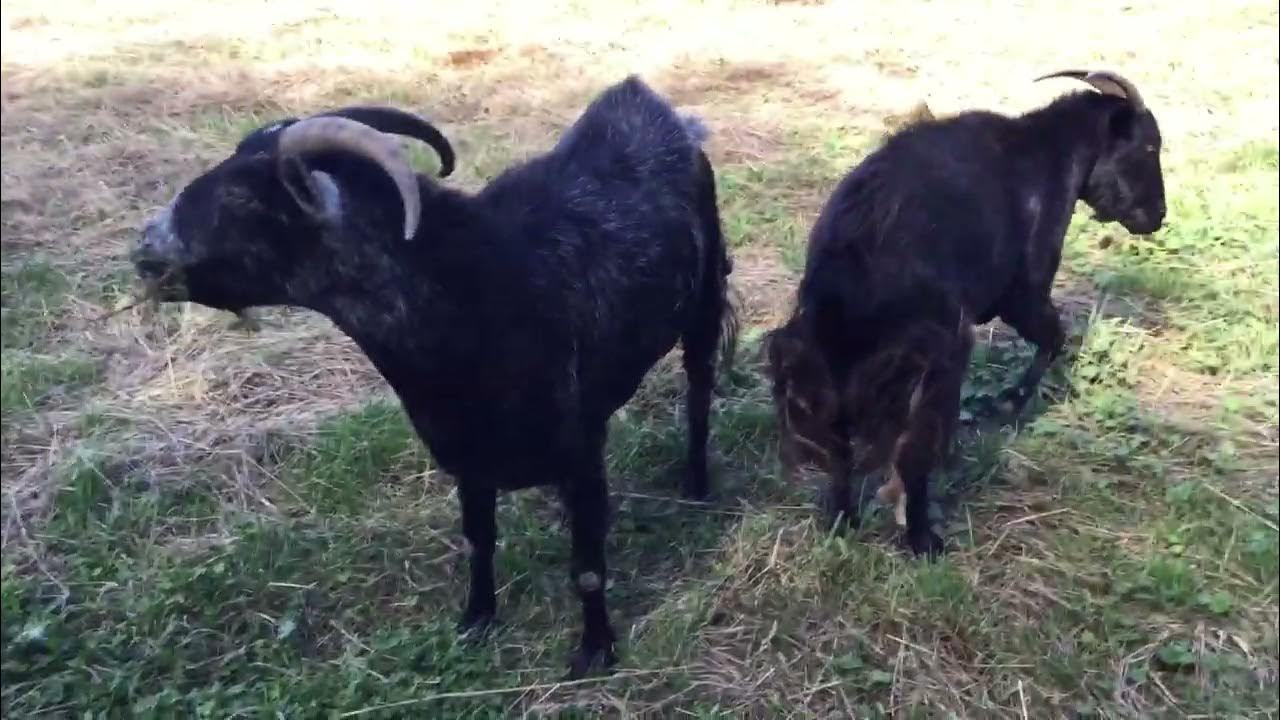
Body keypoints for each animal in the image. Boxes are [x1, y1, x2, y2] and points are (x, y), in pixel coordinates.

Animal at [129, 76, 738, 678]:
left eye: (241, 199)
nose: (144, 246)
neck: (480, 297)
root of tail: (645, 100)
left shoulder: (582, 446)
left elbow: (587, 565)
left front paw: (594, 650)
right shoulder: (466, 451)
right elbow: (478, 540)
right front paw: (477, 620)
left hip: (705, 299)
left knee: (699, 386)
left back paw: (697, 483)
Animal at [763, 69, 1166, 556]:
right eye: (1150, 147)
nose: (1158, 215)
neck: (1047, 149)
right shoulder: (1022, 293)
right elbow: (1054, 337)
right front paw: (1012, 404)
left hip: (821, 372)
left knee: (840, 450)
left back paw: (843, 521)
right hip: (937, 361)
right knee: (913, 452)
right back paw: (923, 539)